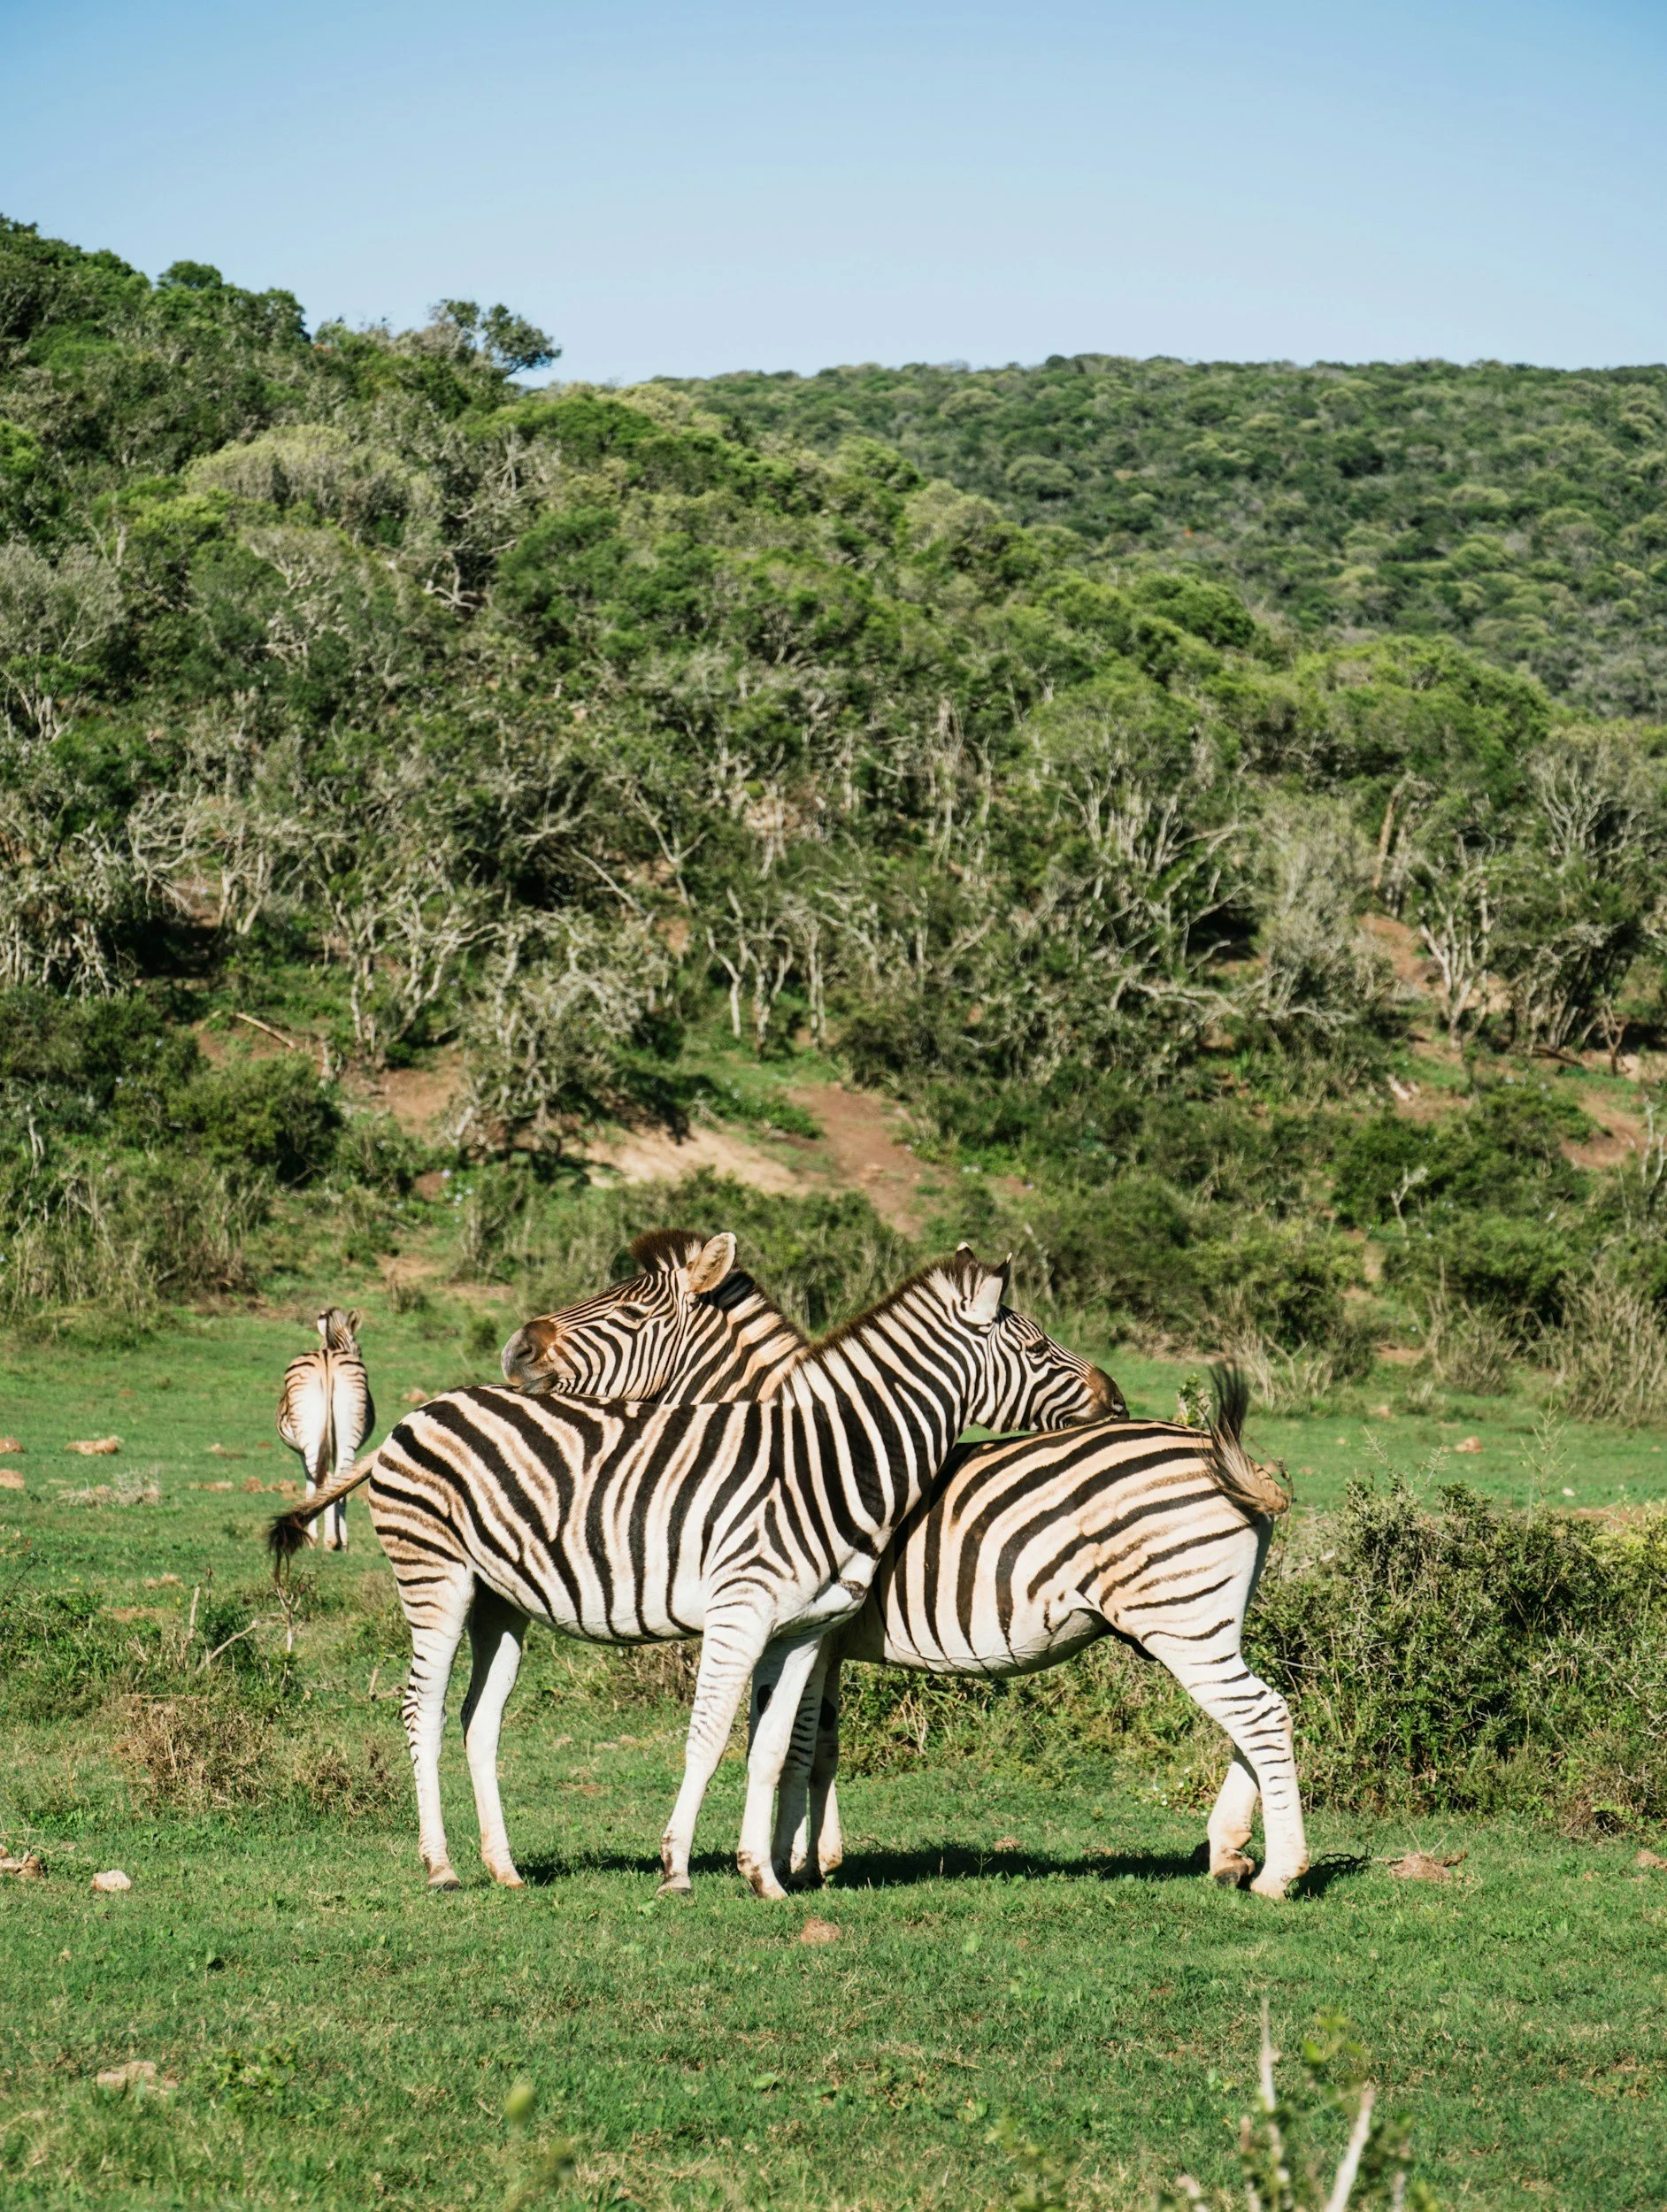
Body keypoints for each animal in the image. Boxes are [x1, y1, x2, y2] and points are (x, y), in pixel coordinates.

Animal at [276, 1307, 375, 1551]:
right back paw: (338, 1541)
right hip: (345, 1437)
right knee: (339, 1479)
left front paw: (312, 1537)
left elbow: (311, 1486)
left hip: (310, 1437)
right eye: (360, 1350)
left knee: (327, 1481)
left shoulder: (302, 1452)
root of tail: (327, 1359)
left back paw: (332, 1541)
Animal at [504, 1245, 1307, 1899]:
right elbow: (818, 1744)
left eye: (630, 1309)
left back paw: (1277, 1873)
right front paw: (816, 1857)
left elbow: (795, 1743)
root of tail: (1225, 1457)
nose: (516, 1349)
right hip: (1199, 1623)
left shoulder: (810, 1626)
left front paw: (792, 1860)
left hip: (1180, 1621)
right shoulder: (823, 1636)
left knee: (1259, 1715)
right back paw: (1232, 1852)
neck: (804, 1450)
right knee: (1249, 1719)